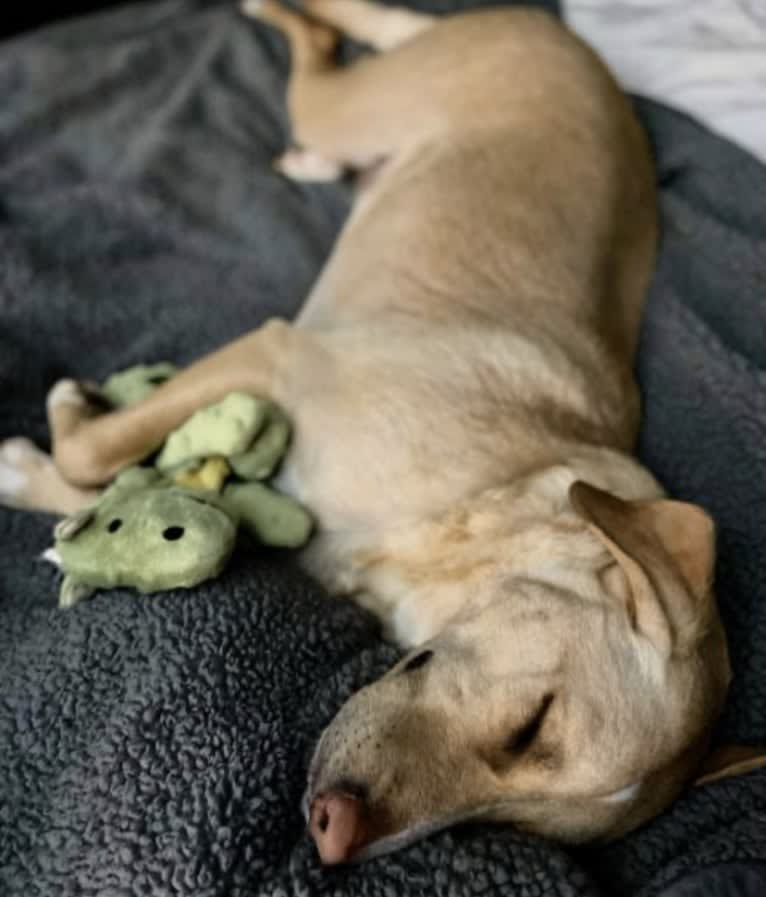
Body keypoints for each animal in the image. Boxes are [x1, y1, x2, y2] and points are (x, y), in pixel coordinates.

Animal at [0, 0, 752, 868]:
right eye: (532, 724)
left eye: (512, 824)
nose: (334, 835)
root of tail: (565, 39)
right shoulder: (279, 355)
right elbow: (95, 449)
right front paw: (56, 433)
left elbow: (119, 486)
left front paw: (50, 483)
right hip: (362, 99)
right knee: (334, 40)